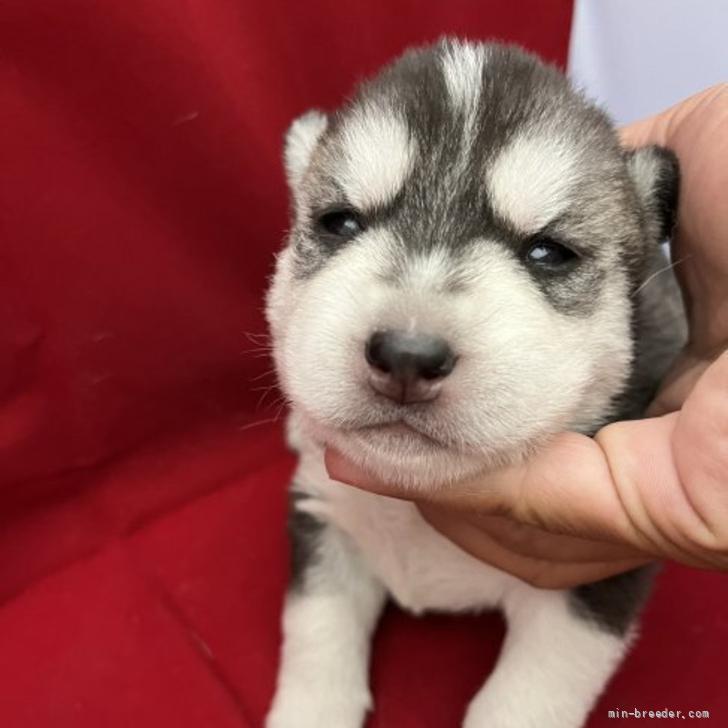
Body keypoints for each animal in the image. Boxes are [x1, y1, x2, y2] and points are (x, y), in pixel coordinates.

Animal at [266, 39, 684, 728]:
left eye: (548, 252)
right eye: (340, 222)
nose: (407, 354)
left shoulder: (590, 582)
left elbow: (528, 696)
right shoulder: (322, 512)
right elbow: (315, 634)